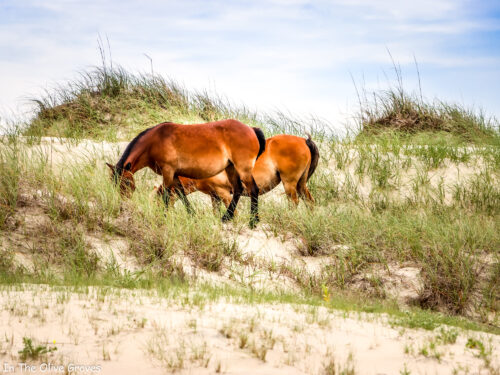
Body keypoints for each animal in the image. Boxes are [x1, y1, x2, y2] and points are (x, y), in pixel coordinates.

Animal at [156, 135, 318, 212]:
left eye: (163, 197)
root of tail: (304, 140)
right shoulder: (215, 197)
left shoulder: (224, 193)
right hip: (301, 184)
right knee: (309, 201)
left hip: (289, 183)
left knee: (294, 202)